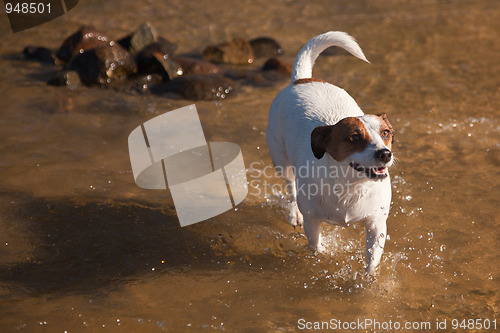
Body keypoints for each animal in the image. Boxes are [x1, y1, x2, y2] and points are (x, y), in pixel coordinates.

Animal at [266, 30, 394, 272]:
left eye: (386, 133)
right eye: (353, 137)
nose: (385, 154)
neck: (350, 187)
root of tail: (301, 80)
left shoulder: (376, 224)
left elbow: (372, 261)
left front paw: (368, 280)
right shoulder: (312, 222)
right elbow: (317, 247)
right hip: (280, 158)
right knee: (291, 184)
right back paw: (293, 212)